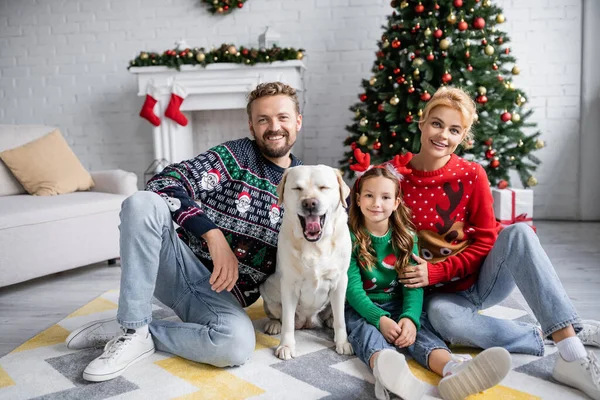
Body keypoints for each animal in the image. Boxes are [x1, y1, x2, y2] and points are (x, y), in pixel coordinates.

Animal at [260, 164, 354, 360]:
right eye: (297, 188)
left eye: (324, 187)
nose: (310, 203)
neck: (315, 245)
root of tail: (307, 322)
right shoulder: (288, 285)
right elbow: (288, 322)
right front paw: (286, 346)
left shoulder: (340, 282)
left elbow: (341, 319)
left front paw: (342, 343)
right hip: (268, 289)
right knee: (278, 315)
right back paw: (274, 324)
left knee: (334, 313)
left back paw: (329, 320)